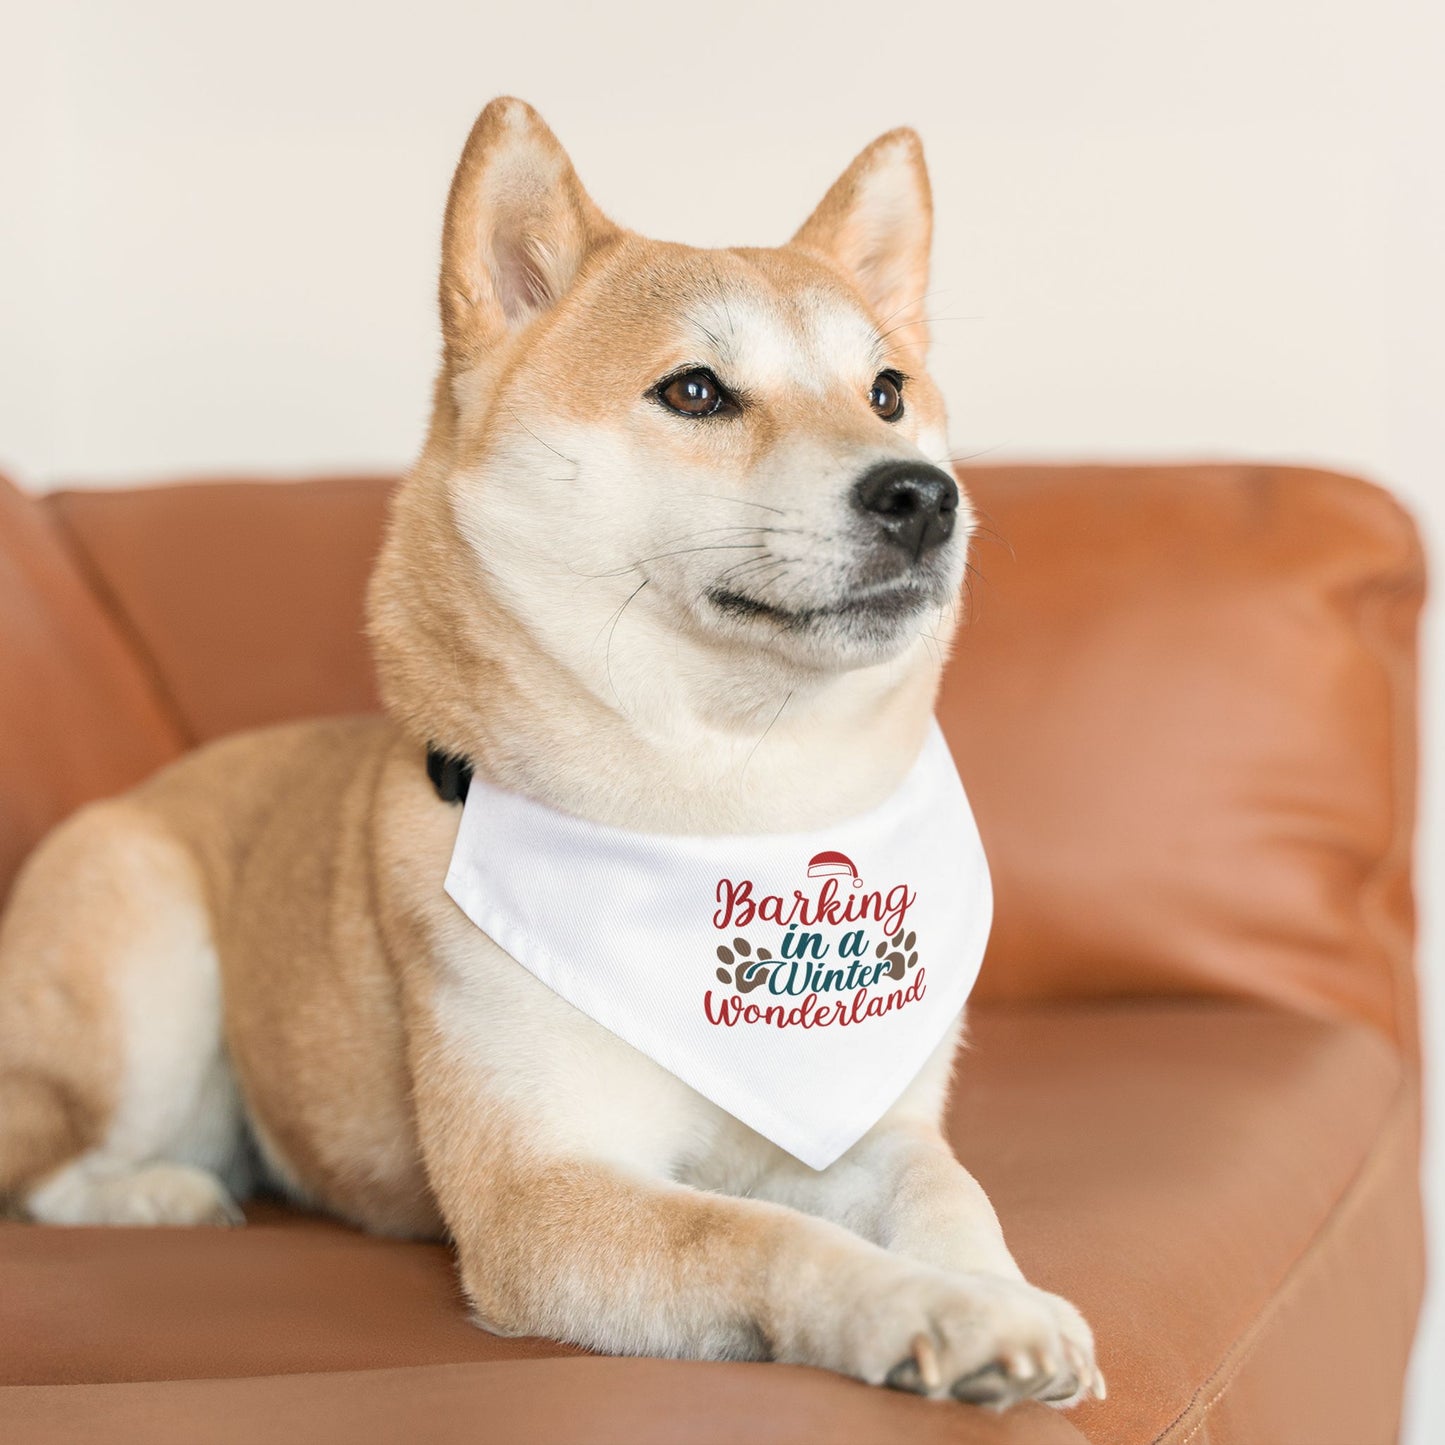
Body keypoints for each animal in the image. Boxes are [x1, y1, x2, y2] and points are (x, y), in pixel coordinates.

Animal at [0, 96, 1098, 1404]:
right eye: (694, 390)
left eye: (886, 390)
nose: (923, 495)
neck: (731, 809)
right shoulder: (541, 1192)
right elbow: (764, 1234)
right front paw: (927, 1307)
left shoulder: (870, 1122)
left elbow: (948, 1190)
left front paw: (1001, 1291)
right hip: (145, 964)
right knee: (47, 1165)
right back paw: (162, 1192)